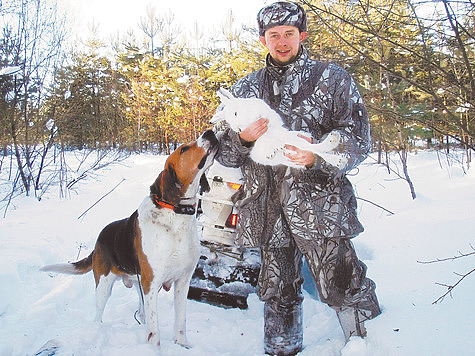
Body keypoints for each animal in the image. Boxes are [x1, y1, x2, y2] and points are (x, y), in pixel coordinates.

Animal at [41, 129, 219, 350]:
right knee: (99, 316)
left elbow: (180, 322)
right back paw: (97, 330)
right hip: (104, 285)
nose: (210, 131)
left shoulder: (182, 281)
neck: (177, 218)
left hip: (139, 284)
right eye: (184, 149)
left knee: (142, 313)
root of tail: (99, 240)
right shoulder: (151, 282)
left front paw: (182, 344)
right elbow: (154, 331)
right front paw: (155, 351)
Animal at [213, 87, 350, 168]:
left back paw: (334, 145)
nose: (239, 129)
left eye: (236, 113)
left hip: (293, 137)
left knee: (311, 147)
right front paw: (271, 151)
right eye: (229, 123)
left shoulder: (272, 124)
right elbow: (262, 139)